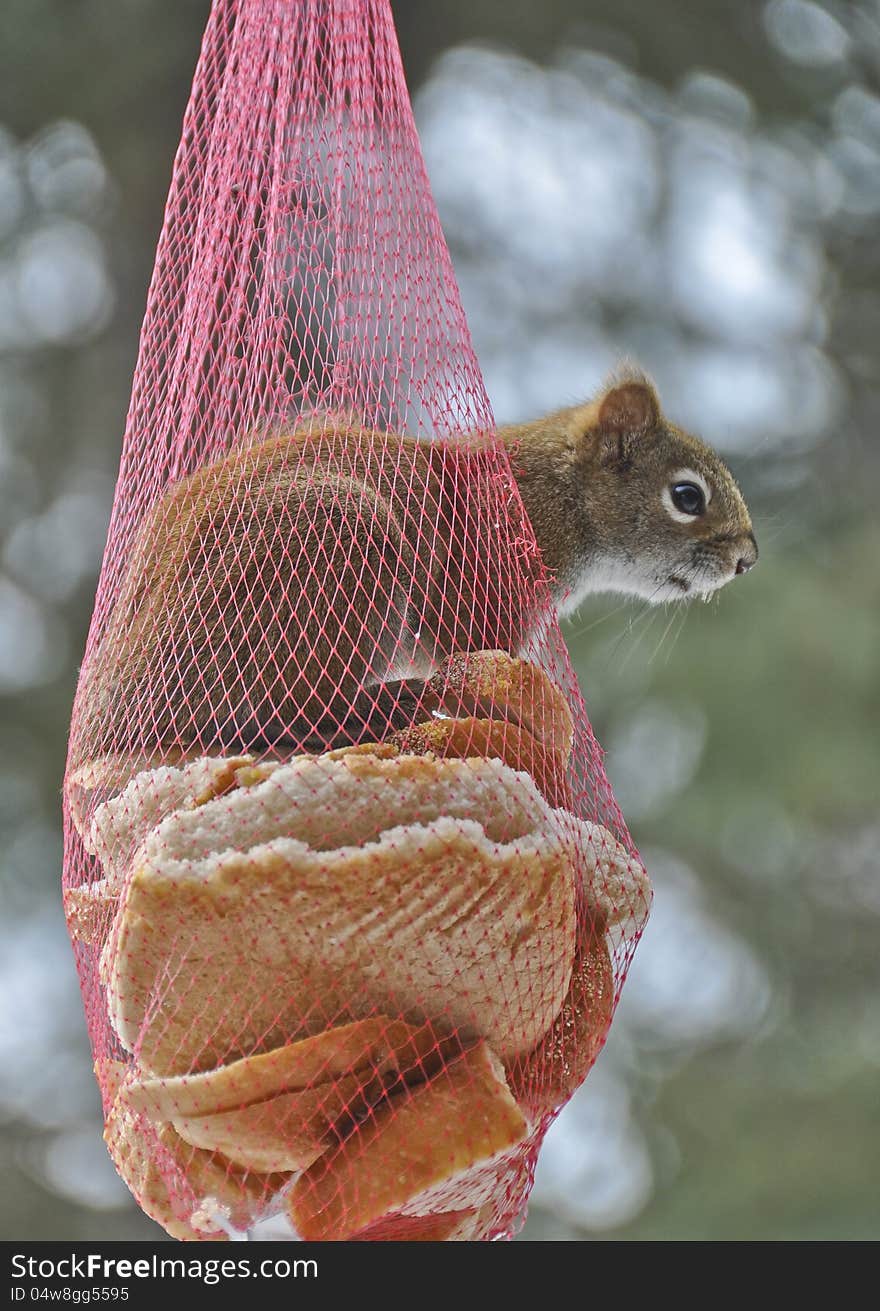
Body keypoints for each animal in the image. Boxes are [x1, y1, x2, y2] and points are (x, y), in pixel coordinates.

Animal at [75, 369, 755, 760]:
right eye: (686, 496)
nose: (747, 559)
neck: (552, 498)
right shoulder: (484, 593)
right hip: (320, 560)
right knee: (266, 715)